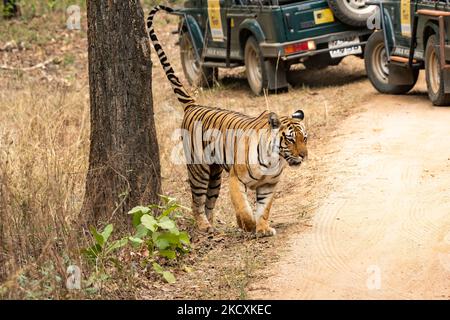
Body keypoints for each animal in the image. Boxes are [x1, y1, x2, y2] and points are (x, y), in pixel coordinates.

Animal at [149, 4, 308, 235]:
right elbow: (242, 206)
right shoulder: (235, 179)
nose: (304, 155)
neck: (275, 159)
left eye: (305, 138)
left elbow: (264, 209)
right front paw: (248, 225)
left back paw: (214, 226)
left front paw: (263, 228)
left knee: (209, 202)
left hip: (215, 177)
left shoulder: (268, 186)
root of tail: (193, 105)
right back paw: (204, 227)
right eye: (290, 139)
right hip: (199, 170)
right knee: (196, 201)